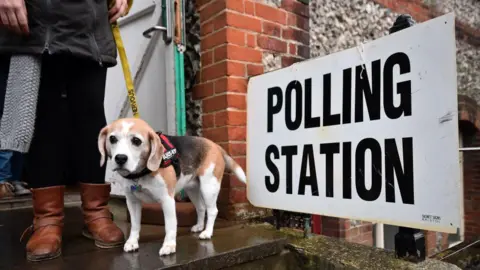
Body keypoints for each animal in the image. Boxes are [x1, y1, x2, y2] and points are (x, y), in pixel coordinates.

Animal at [97, 117, 248, 255]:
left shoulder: (167, 200)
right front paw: (132, 242)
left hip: (209, 187)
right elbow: (134, 225)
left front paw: (169, 246)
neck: (141, 173)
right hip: (192, 189)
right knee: (201, 208)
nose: (120, 158)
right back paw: (199, 226)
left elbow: (170, 225)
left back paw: (207, 232)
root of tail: (215, 145)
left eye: (136, 141)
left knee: (212, 210)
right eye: (112, 139)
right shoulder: (132, 202)